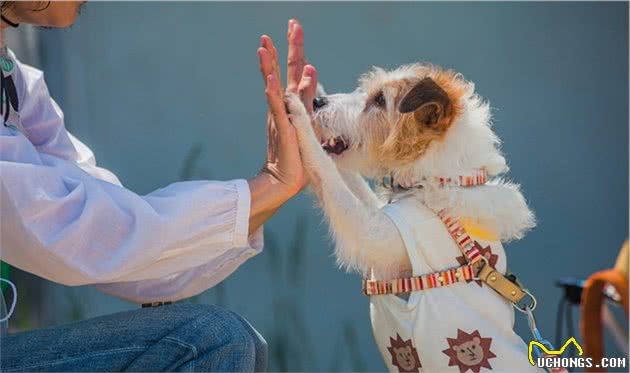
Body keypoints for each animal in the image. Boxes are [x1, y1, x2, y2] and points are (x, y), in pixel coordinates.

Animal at [286, 62, 544, 370]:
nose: (316, 102)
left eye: (380, 101)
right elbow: (348, 179)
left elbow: (328, 174)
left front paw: (298, 115)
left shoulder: (373, 234)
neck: (435, 180)